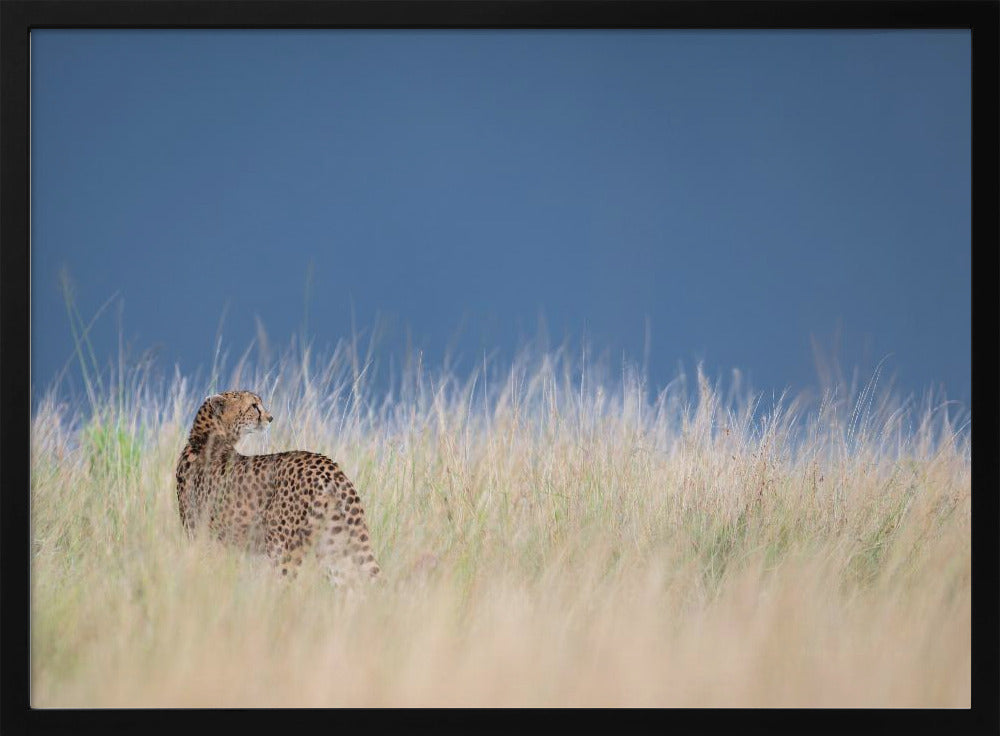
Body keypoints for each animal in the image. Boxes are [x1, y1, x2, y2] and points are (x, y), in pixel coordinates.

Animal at [174, 388, 380, 584]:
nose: (270, 418)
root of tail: (327, 466)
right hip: (335, 545)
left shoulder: (203, 538)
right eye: (254, 406)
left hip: (282, 548)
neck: (205, 438)